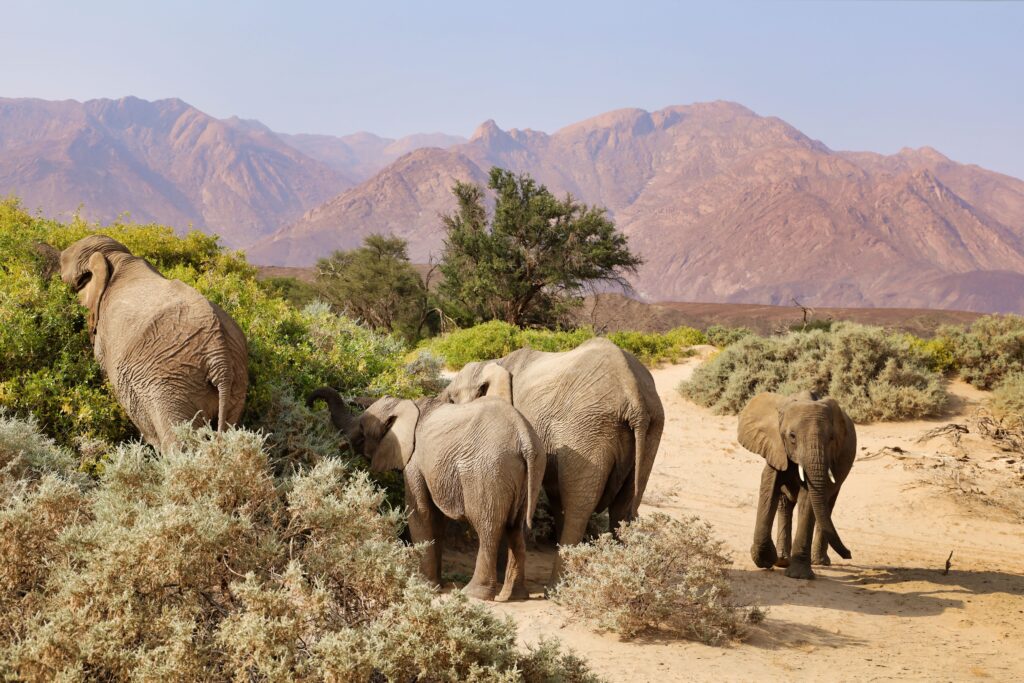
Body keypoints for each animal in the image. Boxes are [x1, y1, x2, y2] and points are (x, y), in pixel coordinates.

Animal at [309, 388, 546, 601]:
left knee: (488, 528)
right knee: (516, 530)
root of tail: (525, 437)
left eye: (361, 427)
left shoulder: (414, 461)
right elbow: (436, 519)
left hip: (488, 472)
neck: (405, 404)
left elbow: (420, 512)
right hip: (529, 475)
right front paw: (436, 583)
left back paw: (474, 594)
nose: (311, 402)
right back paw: (515, 596)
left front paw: (424, 585)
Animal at [441, 337, 664, 580]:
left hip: (587, 429)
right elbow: (554, 497)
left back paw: (558, 585)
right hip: (650, 431)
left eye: (451, 399)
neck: (492, 363)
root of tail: (633, 395)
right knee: (623, 508)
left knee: (578, 508)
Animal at [738, 391, 857, 580]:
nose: (849, 554)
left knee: (826, 506)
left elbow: (807, 498)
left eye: (831, 439)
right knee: (785, 505)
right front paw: (767, 559)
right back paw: (782, 560)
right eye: (792, 436)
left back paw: (818, 561)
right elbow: (768, 486)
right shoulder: (775, 446)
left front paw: (798, 575)